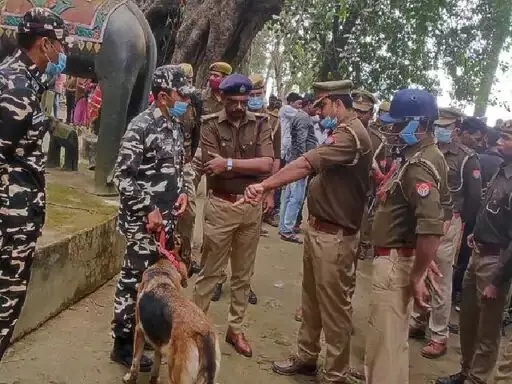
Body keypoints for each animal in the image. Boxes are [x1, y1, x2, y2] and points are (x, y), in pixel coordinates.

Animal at [125, 236, 221, 382]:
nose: (197, 268)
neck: (163, 270)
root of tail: (202, 333)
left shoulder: (139, 331)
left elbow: (135, 361)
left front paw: (130, 378)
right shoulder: (159, 341)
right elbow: (156, 362)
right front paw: (153, 379)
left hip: (176, 374)